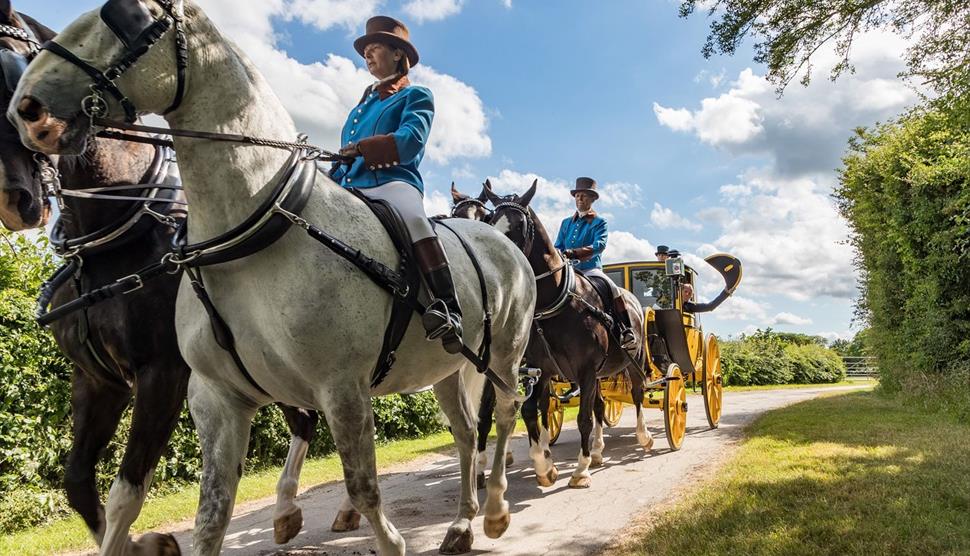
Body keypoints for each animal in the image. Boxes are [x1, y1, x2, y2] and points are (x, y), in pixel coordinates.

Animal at [0, 4, 320, 552]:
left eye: (7, 65)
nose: (13, 199)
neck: (113, 242)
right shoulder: (98, 382)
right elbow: (78, 481)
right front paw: (142, 543)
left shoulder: (161, 374)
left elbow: (126, 490)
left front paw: (138, 539)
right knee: (303, 418)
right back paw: (289, 510)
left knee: (308, 418)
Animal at [482, 181, 656, 486]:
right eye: (491, 221)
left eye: (518, 225)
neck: (556, 301)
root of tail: (633, 300)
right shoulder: (541, 368)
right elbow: (532, 410)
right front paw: (544, 466)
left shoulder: (585, 369)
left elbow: (583, 418)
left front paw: (580, 470)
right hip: (597, 375)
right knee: (600, 404)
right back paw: (597, 451)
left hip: (633, 361)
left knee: (636, 394)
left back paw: (642, 437)